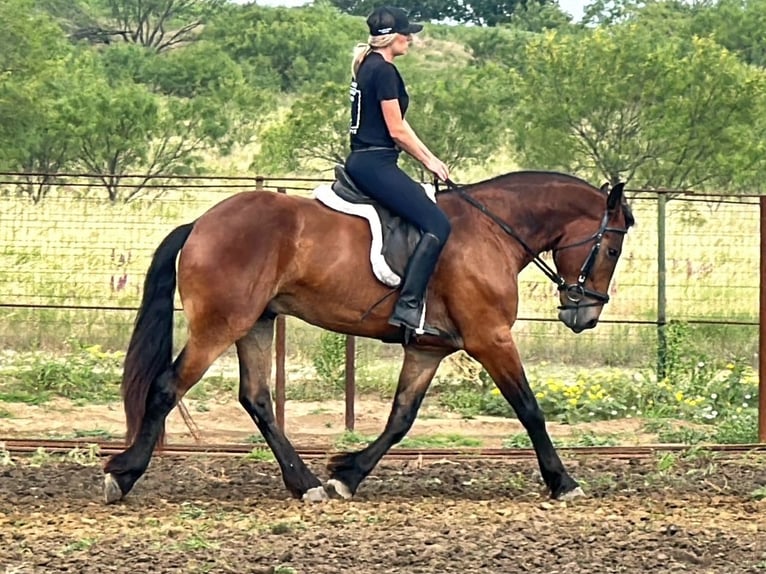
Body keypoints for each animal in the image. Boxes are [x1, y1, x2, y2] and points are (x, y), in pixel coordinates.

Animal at [105, 170, 640, 504]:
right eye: (613, 248)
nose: (585, 313)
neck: (494, 231)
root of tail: (200, 223)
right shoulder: (490, 338)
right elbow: (529, 409)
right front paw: (563, 481)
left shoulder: (429, 348)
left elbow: (401, 418)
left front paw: (347, 474)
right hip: (222, 323)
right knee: (167, 386)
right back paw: (123, 475)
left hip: (256, 322)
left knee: (256, 398)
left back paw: (305, 483)